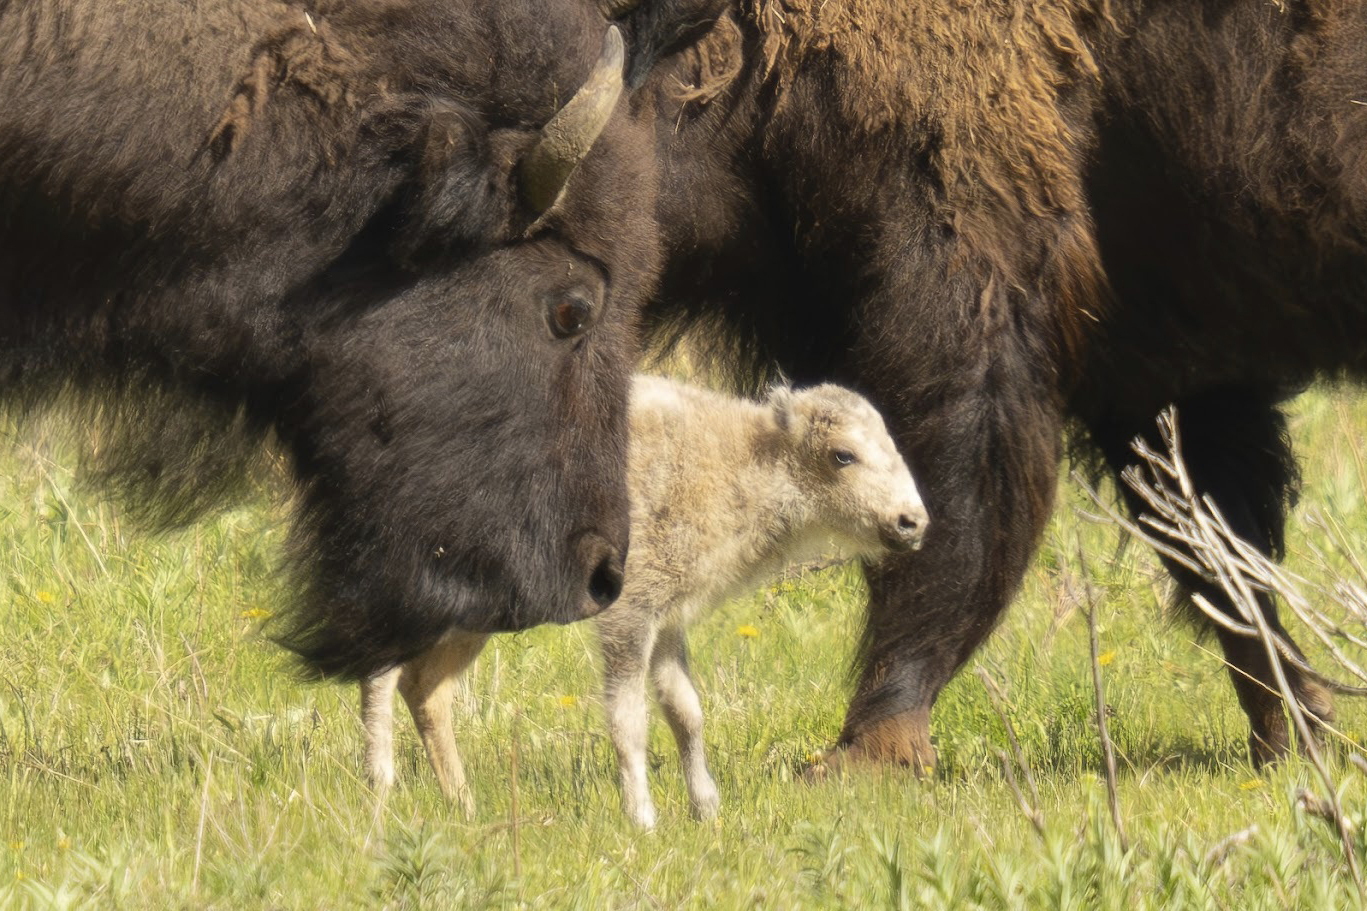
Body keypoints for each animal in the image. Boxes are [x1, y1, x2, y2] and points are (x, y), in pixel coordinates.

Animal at [636, 0, 1367, 768]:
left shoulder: (967, 310)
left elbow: (953, 512)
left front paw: (867, 750)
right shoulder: (1153, 368)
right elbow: (1214, 549)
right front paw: (1293, 734)